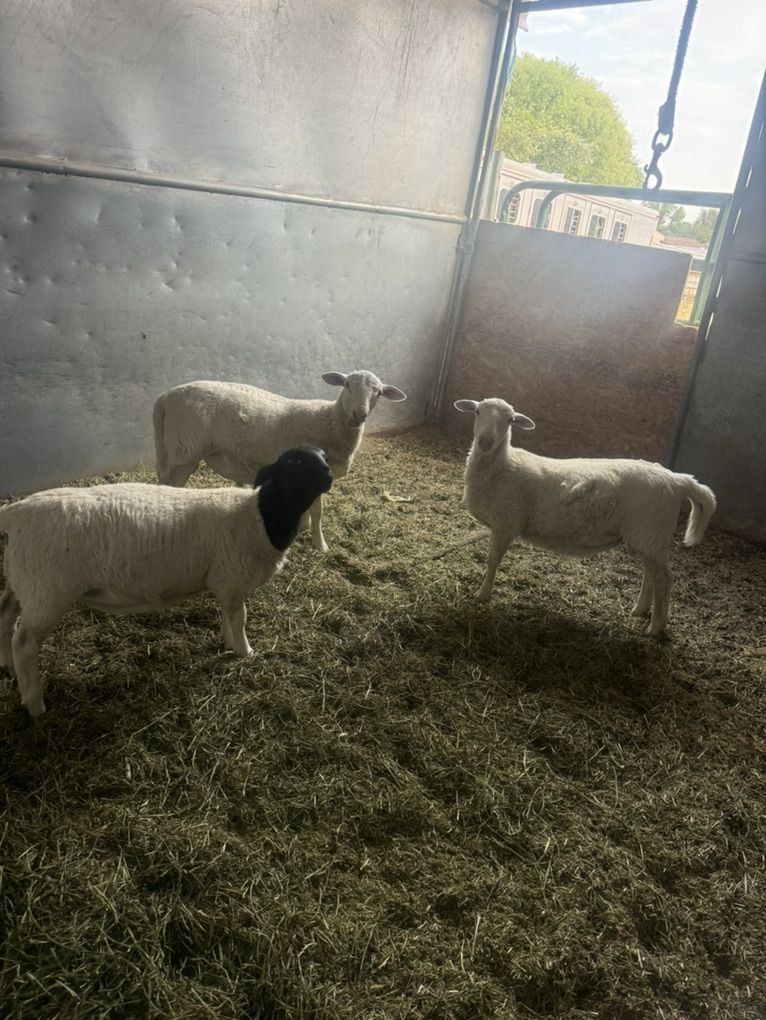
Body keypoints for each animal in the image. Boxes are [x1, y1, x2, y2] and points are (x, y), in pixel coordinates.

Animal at [0, 446, 332, 718]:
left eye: (323, 457)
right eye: (296, 461)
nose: (329, 476)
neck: (261, 516)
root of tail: (15, 513)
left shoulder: (225, 585)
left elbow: (229, 617)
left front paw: (229, 644)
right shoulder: (232, 580)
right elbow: (240, 619)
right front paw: (245, 652)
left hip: (22, 581)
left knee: (6, 616)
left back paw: (7, 665)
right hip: (48, 591)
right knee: (24, 641)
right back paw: (34, 703)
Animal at [153, 370, 407, 553]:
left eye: (378, 392)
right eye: (347, 385)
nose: (359, 414)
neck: (331, 421)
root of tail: (165, 397)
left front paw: (304, 526)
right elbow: (318, 510)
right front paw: (320, 544)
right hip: (185, 451)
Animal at [453, 398, 716, 635]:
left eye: (509, 420)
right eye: (477, 411)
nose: (486, 441)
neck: (502, 467)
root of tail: (676, 480)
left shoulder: (506, 523)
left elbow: (492, 561)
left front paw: (482, 595)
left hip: (651, 532)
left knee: (664, 578)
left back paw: (655, 628)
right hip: (647, 538)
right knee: (651, 574)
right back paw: (639, 610)